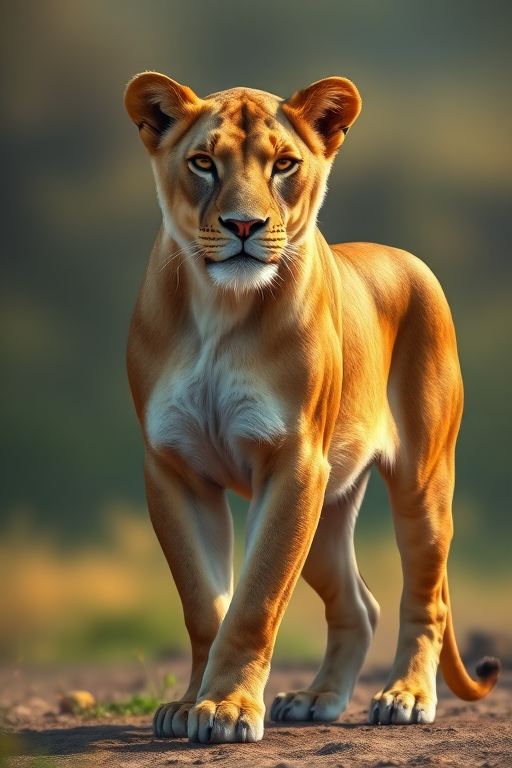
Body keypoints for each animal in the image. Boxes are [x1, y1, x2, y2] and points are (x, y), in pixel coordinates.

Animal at [123, 73, 500, 744]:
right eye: (202, 163)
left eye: (284, 165)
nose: (243, 225)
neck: (219, 309)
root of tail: (407, 257)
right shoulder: (173, 468)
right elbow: (203, 604)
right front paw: (189, 703)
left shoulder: (294, 462)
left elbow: (255, 599)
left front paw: (226, 709)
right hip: (327, 511)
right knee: (360, 605)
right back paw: (317, 698)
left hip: (421, 482)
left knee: (425, 597)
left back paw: (405, 697)